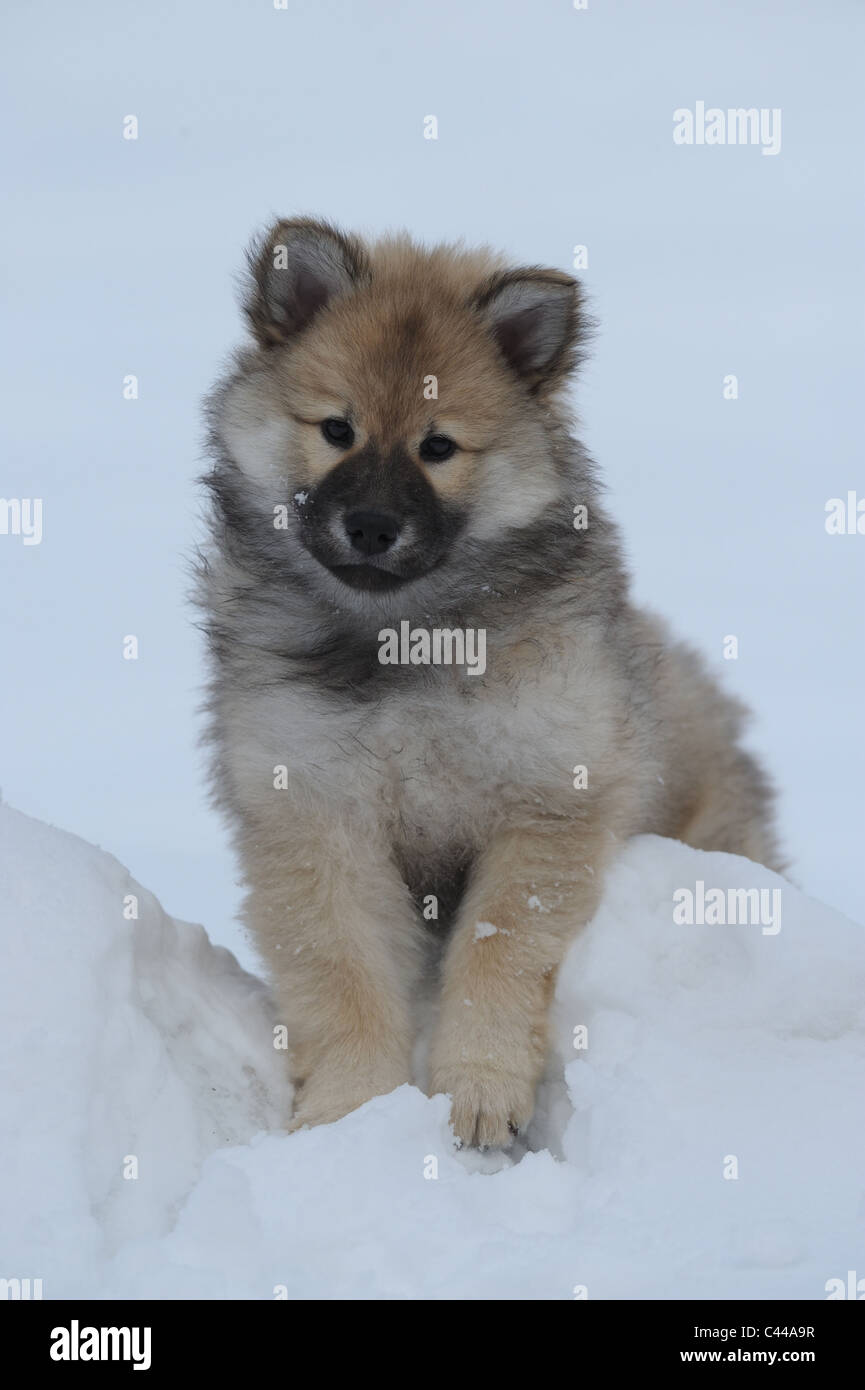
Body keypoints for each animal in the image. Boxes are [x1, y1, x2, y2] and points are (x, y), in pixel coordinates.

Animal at [200, 216, 784, 1145]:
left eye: (438, 448)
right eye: (336, 430)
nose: (370, 526)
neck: (404, 641)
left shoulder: (542, 804)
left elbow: (497, 954)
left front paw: (477, 1095)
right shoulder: (314, 815)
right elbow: (343, 976)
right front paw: (350, 1113)